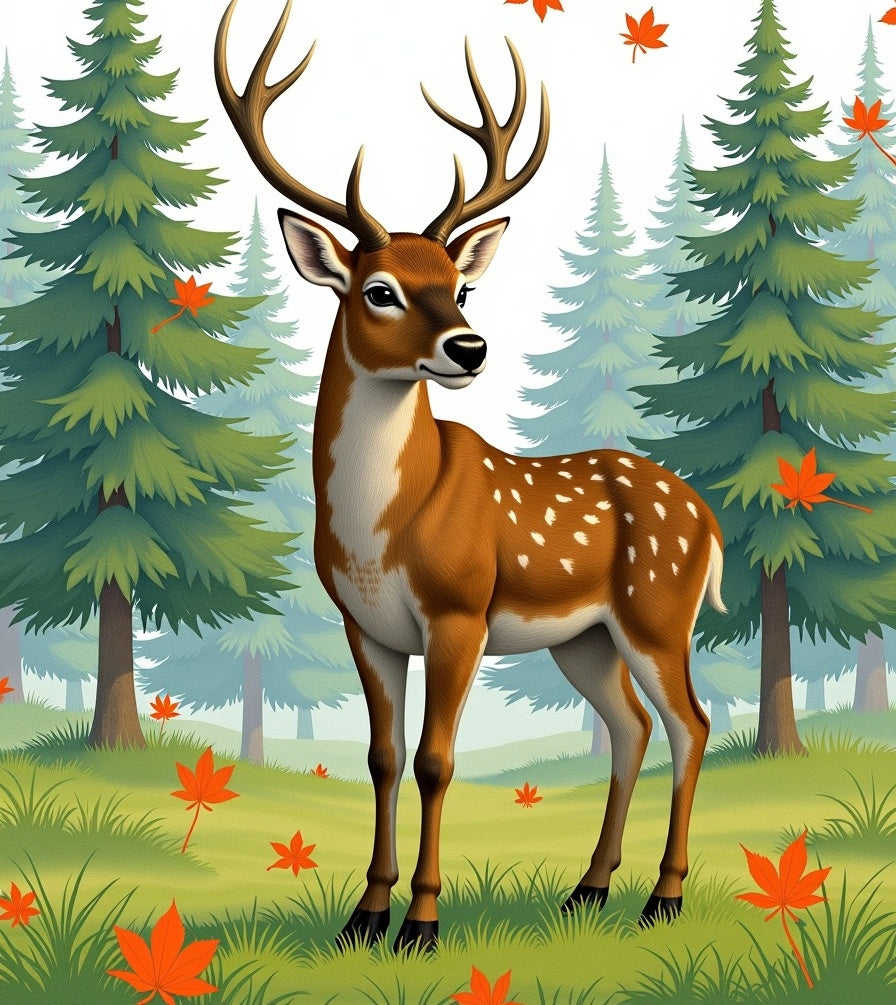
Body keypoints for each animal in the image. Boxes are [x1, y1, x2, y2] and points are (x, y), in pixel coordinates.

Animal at [215, 0, 726, 954]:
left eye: (462, 287)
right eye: (378, 289)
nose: (469, 347)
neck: (382, 527)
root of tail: (708, 520)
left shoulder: (460, 610)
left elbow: (435, 759)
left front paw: (421, 920)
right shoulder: (367, 625)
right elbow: (380, 758)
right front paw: (363, 915)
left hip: (657, 608)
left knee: (691, 722)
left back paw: (664, 897)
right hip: (584, 636)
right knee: (632, 725)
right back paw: (588, 890)